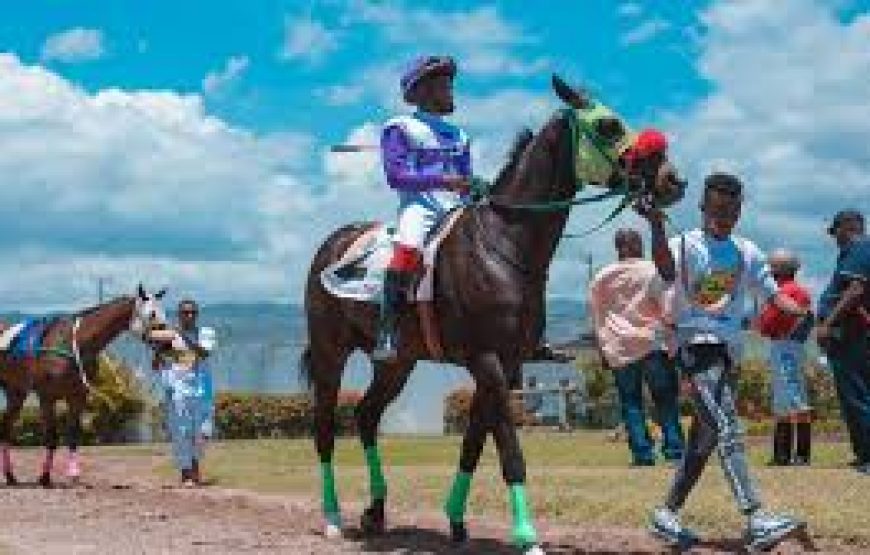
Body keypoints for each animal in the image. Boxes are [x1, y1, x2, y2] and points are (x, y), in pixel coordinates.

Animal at [0, 286, 169, 486]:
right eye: (152, 314)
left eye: (164, 313)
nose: (167, 343)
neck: (72, 343)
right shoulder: (47, 396)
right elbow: (51, 437)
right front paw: (45, 477)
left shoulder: (78, 396)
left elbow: (73, 434)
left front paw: (73, 474)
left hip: (15, 392)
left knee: (6, 428)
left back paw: (10, 476)